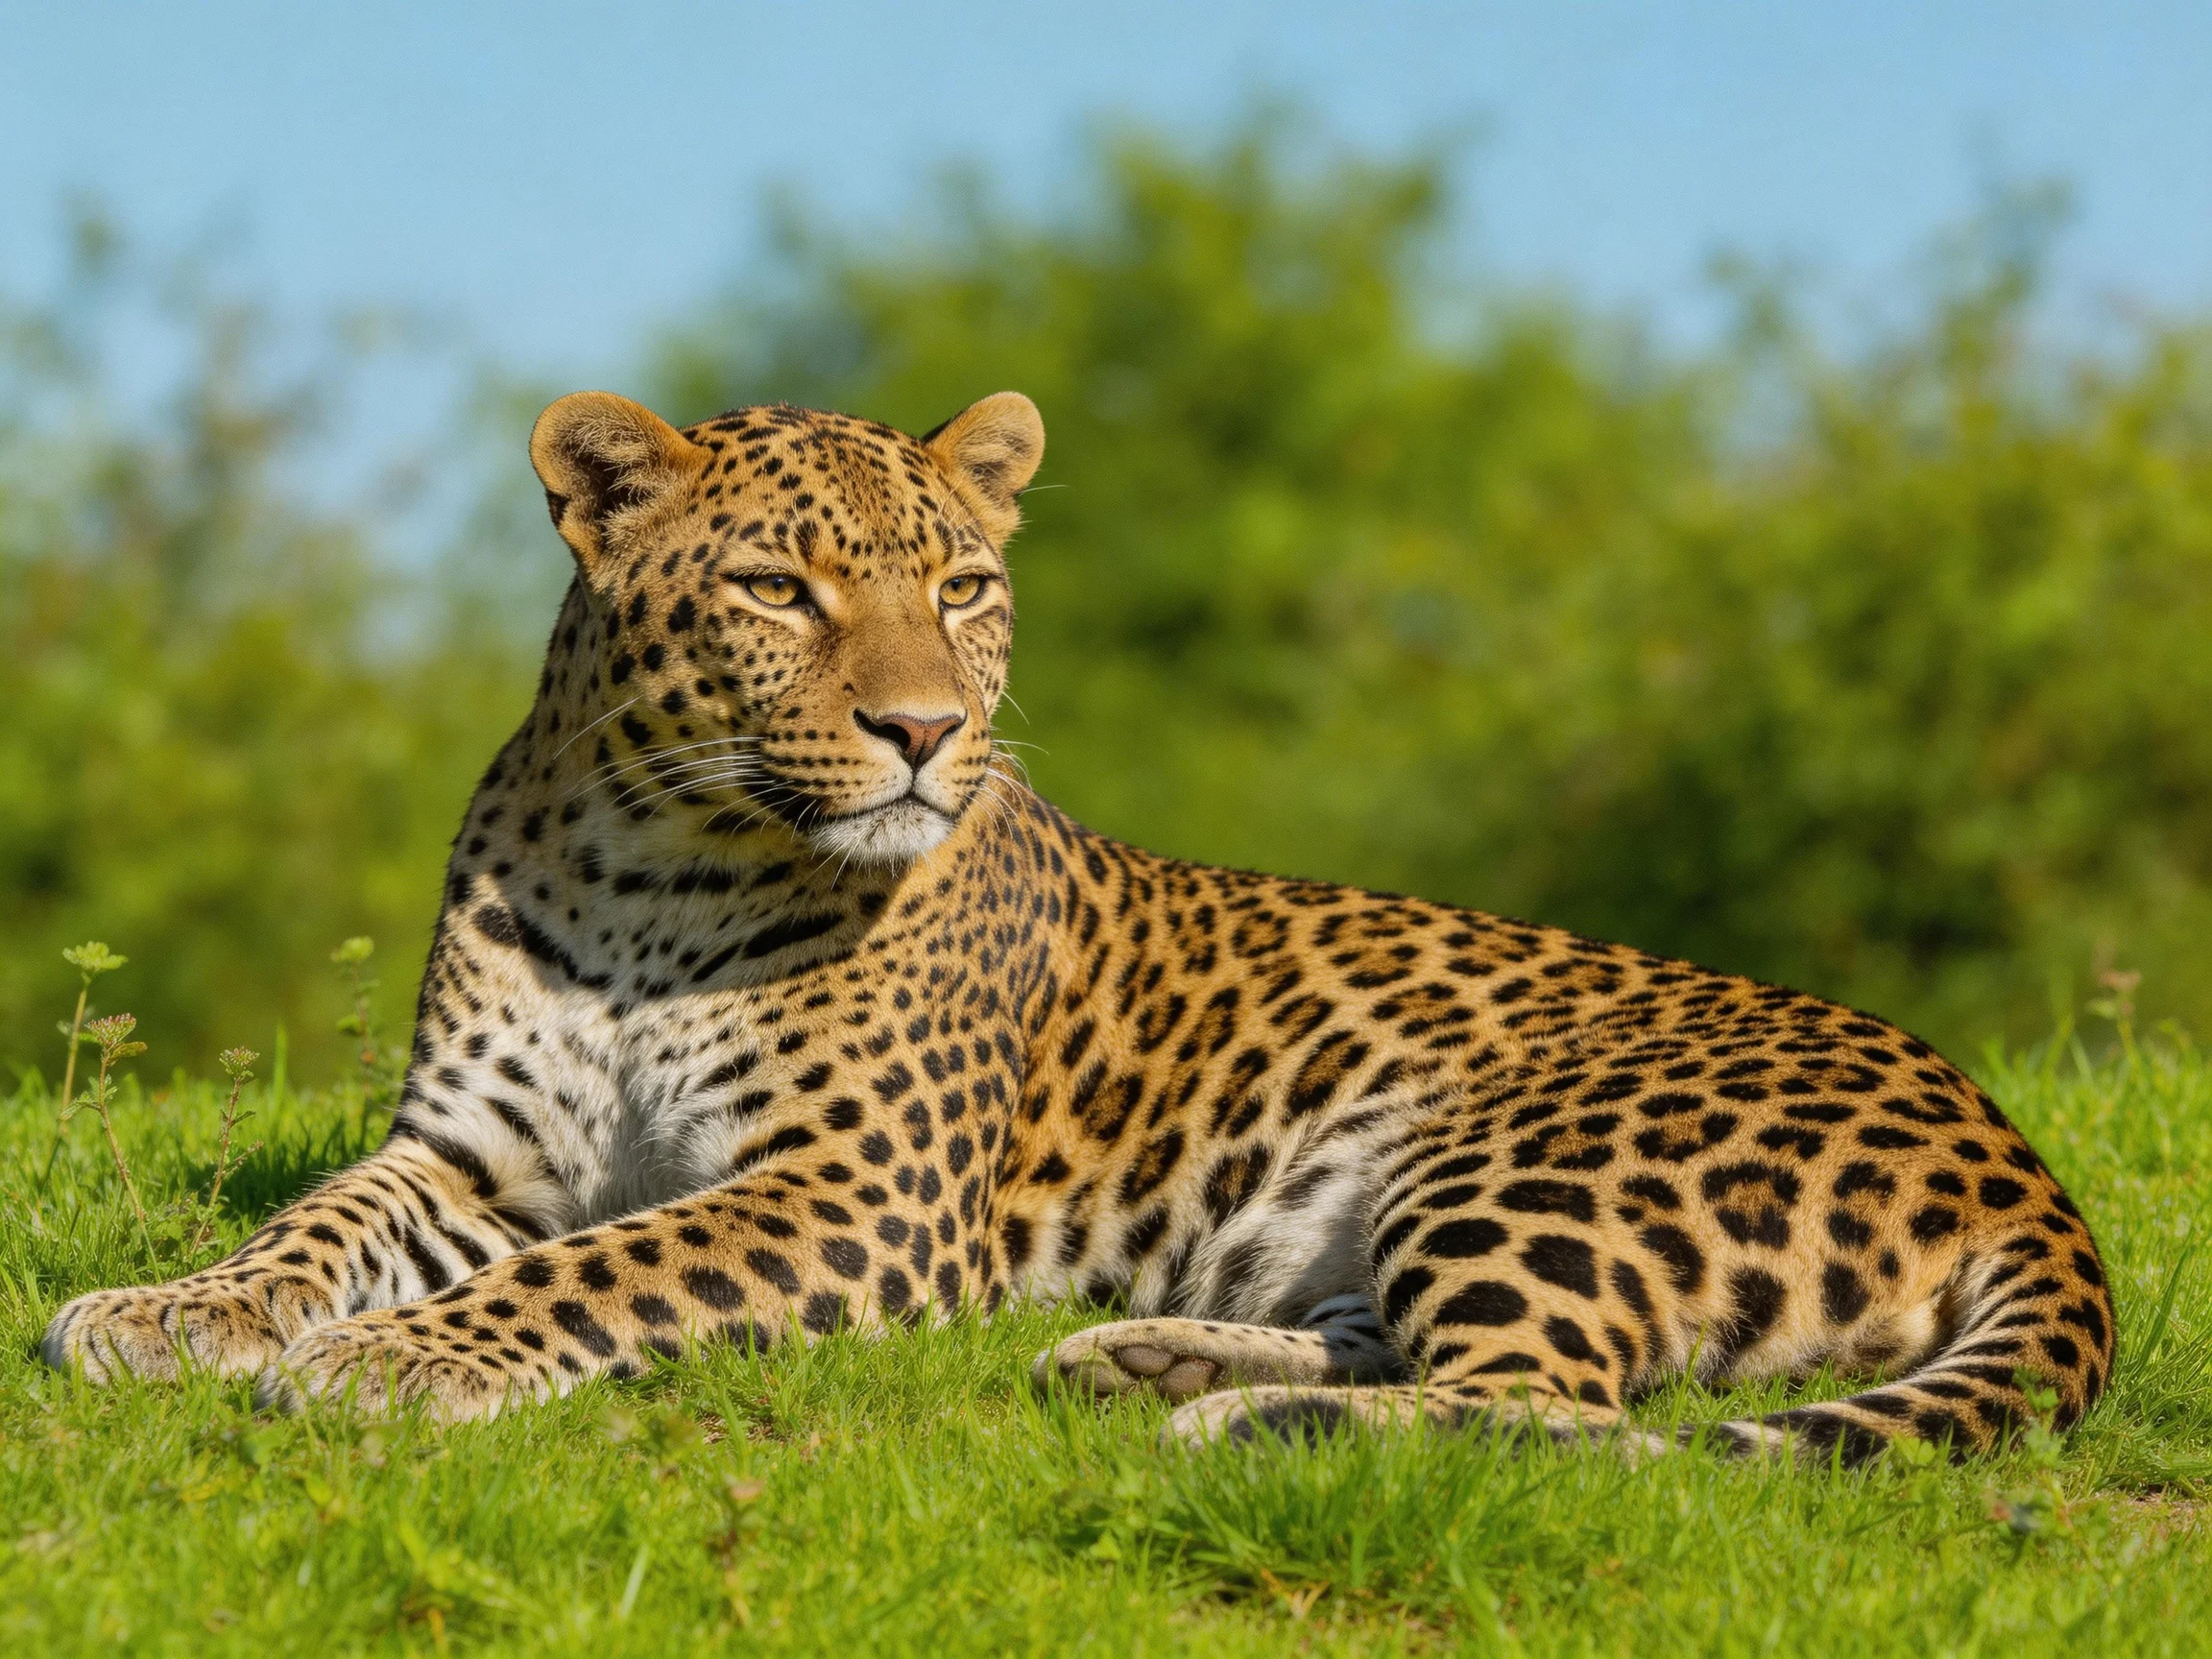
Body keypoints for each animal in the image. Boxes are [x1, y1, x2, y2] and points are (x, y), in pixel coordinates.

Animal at [44, 386, 2114, 1463]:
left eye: (963, 587)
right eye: (779, 590)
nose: (922, 733)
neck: (660, 862)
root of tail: (2023, 1160)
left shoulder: (851, 1194)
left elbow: (605, 1269)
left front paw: (397, 1360)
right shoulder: (469, 1149)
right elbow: (315, 1228)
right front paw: (166, 1311)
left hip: (1525, 1150)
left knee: (1565, 1413)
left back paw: (1236, 1432)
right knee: (1436, 1356)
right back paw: (1147, 1361)